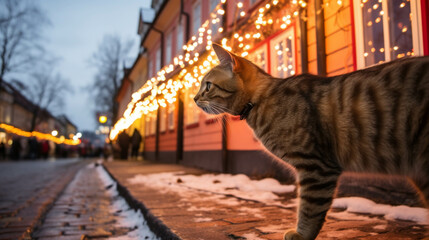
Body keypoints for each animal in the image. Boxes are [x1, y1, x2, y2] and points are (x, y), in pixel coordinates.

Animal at [194, 43, 428, 240]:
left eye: (208, 85)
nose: (195, 99)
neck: (260, 101)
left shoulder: (316, 167)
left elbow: (310, 208)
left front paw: (301, 234)